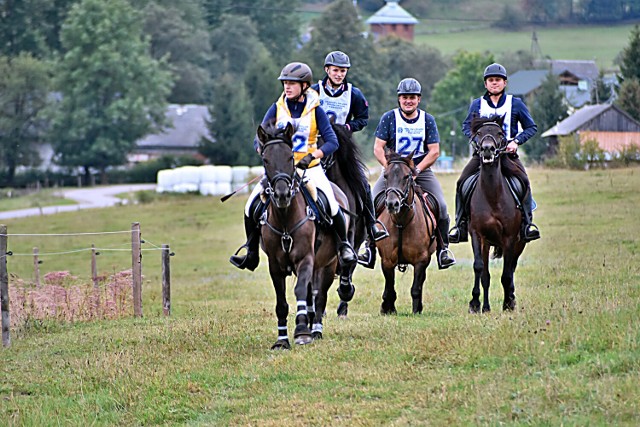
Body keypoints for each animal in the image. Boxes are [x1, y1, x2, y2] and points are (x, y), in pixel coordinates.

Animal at [255, 122, 350, 350]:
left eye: (291, 157)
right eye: (265, 159)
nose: (282, 194)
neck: (285, 218)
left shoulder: (305, 259)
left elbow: (301, 292)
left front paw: (301, 332)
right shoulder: (275, 265)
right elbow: (281, 302)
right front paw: (282, 340)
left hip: (327, 264)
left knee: (320, 296)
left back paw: (315, 330)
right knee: (311, 296)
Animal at [378, 150, 438, 314]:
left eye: (406, 176)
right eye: (385, 176)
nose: (392, 204)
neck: (401, 222)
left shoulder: (421, 260)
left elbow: (416, 288)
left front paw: (416, 310)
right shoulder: (387, 260)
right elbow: (389, 288)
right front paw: (388, 309)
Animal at [468, 116, 528, 314]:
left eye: (500, 133)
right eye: (479, 133)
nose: (488, 149)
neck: (492, 194)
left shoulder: (510, 238)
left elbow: (506, 274)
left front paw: (508, 303)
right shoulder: (477, 235)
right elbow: (480, 270)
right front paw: (476, 304)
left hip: (519, 243)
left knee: (512, 269)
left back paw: (511, 298)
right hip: (487, 243)